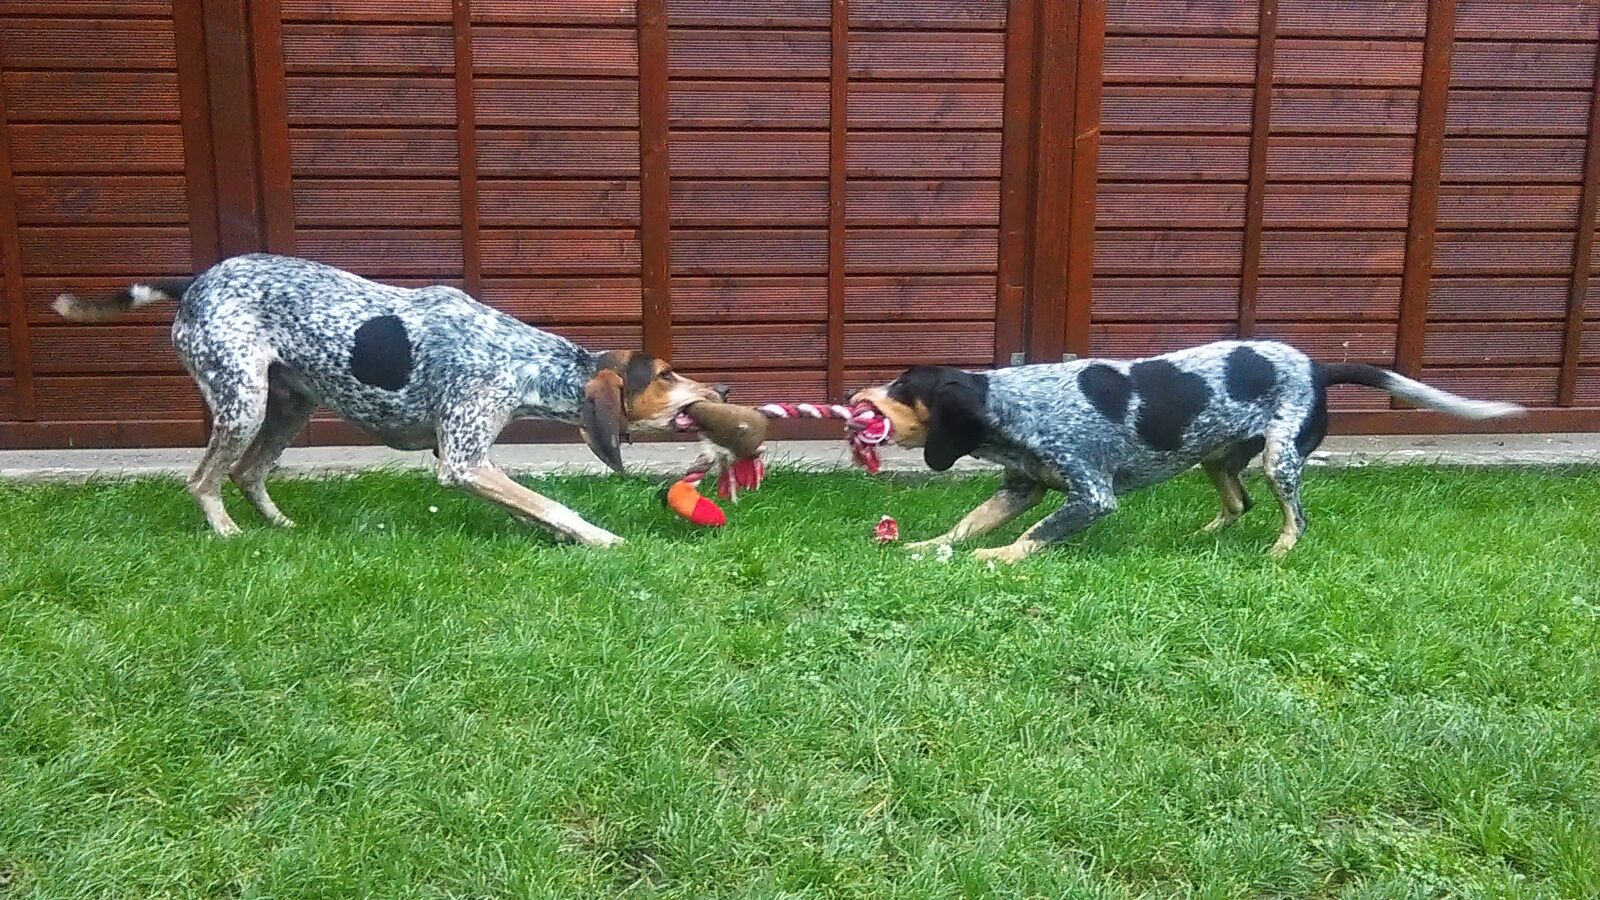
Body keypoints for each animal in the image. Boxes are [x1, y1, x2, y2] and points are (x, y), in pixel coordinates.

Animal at [53, 254, 723, 547]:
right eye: (667, 374)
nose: (724, 389)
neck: (520, 359)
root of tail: (194, 280)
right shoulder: (462, 462)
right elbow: (551, 504)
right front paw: (599, 538)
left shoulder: (467, 460)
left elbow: (529, 507)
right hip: (242, 403)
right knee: (203, 480)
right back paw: (226, 532)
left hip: (287, 408)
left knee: (248, 474)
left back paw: (280, 526)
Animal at [851, 337, 1523, 560]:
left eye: (902, 389)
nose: (855, 395)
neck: (1014, 403)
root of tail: (1318, 366)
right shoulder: (1023, 487)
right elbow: (967, 524)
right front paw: (926, 547)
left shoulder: (1090, 496)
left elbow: (1028, 539)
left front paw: (993, 560)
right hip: (1215, 456)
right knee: (1239, 504)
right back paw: (1200, 537)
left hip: (1281, 458)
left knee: (1294, 517)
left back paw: (1277, 553)